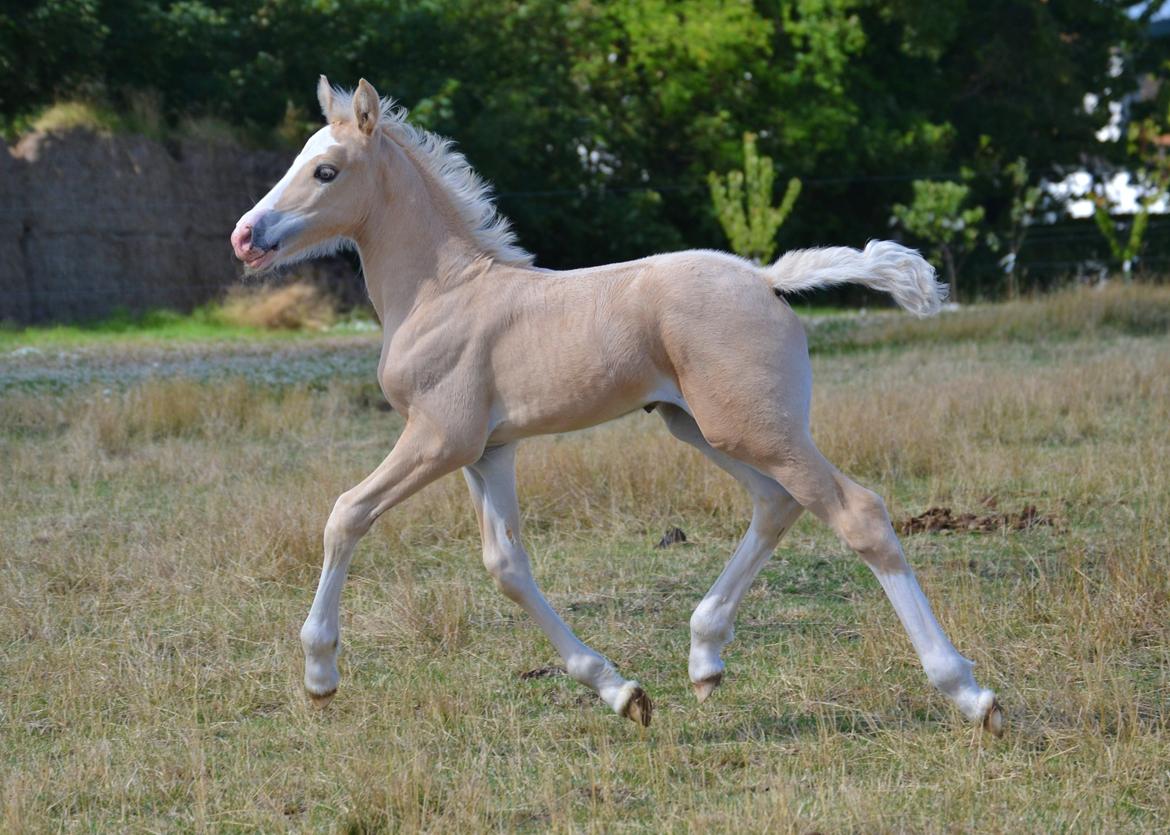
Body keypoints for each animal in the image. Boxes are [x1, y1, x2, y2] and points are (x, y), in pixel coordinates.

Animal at [232, 74, 1001, 729]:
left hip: (754, 428)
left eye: (326, 170)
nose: (246, 235)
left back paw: (969, 693)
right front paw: (621, 691)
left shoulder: (439, 438)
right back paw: (704, 657)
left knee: (856, 512)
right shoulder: (489, 450)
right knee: (777, 502)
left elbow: (345, 514)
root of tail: (763, 276)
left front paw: (320, 673)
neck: (441, 291)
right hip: (701, 426)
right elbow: (506, 566)